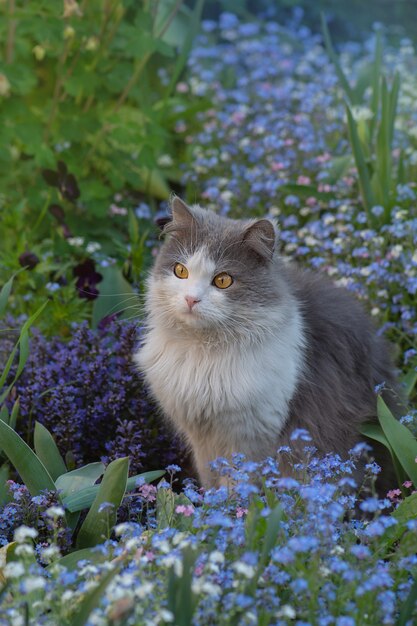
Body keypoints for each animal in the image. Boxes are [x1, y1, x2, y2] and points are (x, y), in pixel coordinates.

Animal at [135, 195, 398, 488]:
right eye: (180, 271)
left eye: (223, 280)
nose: (191, 299)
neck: (203, 353)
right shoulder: (200, 437)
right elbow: (210, 480)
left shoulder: (251, 437)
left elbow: (236, 485)